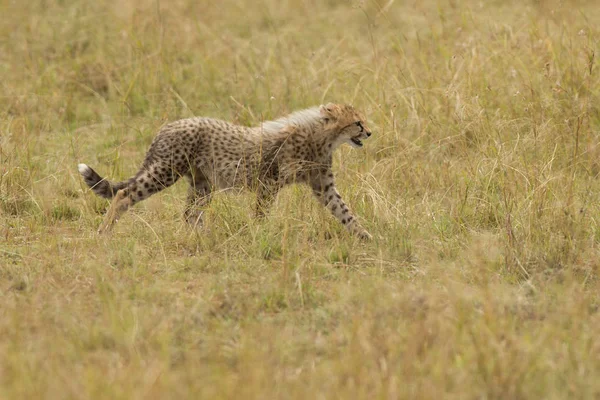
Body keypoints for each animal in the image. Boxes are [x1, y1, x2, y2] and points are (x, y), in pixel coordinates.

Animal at [78, 104, 372, 239]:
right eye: (357, 123)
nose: (369, 133)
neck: (323, 137)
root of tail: (169, 125)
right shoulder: (269, 183)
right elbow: (261, 212)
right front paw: (259, 233)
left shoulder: (323, 185)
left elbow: (344, 211)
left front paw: (364, 235)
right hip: (166, 171)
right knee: (124, 194)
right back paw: (104, 231)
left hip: (202, 183)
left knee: (189, 214)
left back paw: (203, 237)